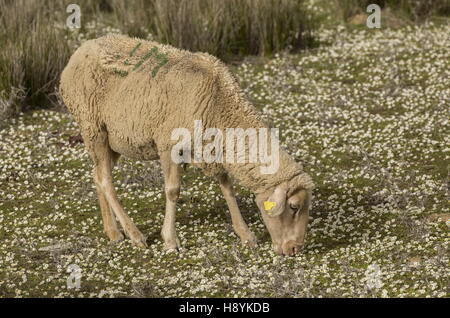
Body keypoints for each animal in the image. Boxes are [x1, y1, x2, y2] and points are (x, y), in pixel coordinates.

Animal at [59, 34, 312, 256]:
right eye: (294, 207)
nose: (295, 249)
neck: (219, 102)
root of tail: (79, 52)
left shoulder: (210, 148)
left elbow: (227, 187)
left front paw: (245, 234)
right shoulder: (168, 145)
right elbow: (173, 191)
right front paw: (170, 240)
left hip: (114, 139)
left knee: (97, 174)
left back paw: (113, 232)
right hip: (93, 127)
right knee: (105, 180)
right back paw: (135, 235)